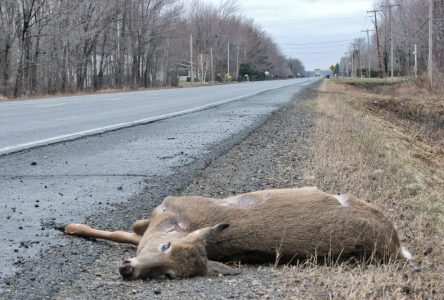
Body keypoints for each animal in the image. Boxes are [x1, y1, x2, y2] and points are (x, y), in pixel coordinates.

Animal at [64, 186, 412, 280]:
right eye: (164, 247)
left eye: (169, 275)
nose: (128, 270)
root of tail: (396, 247)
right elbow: (128, 232)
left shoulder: (169, 204)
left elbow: (123, 231)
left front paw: (70, 226)